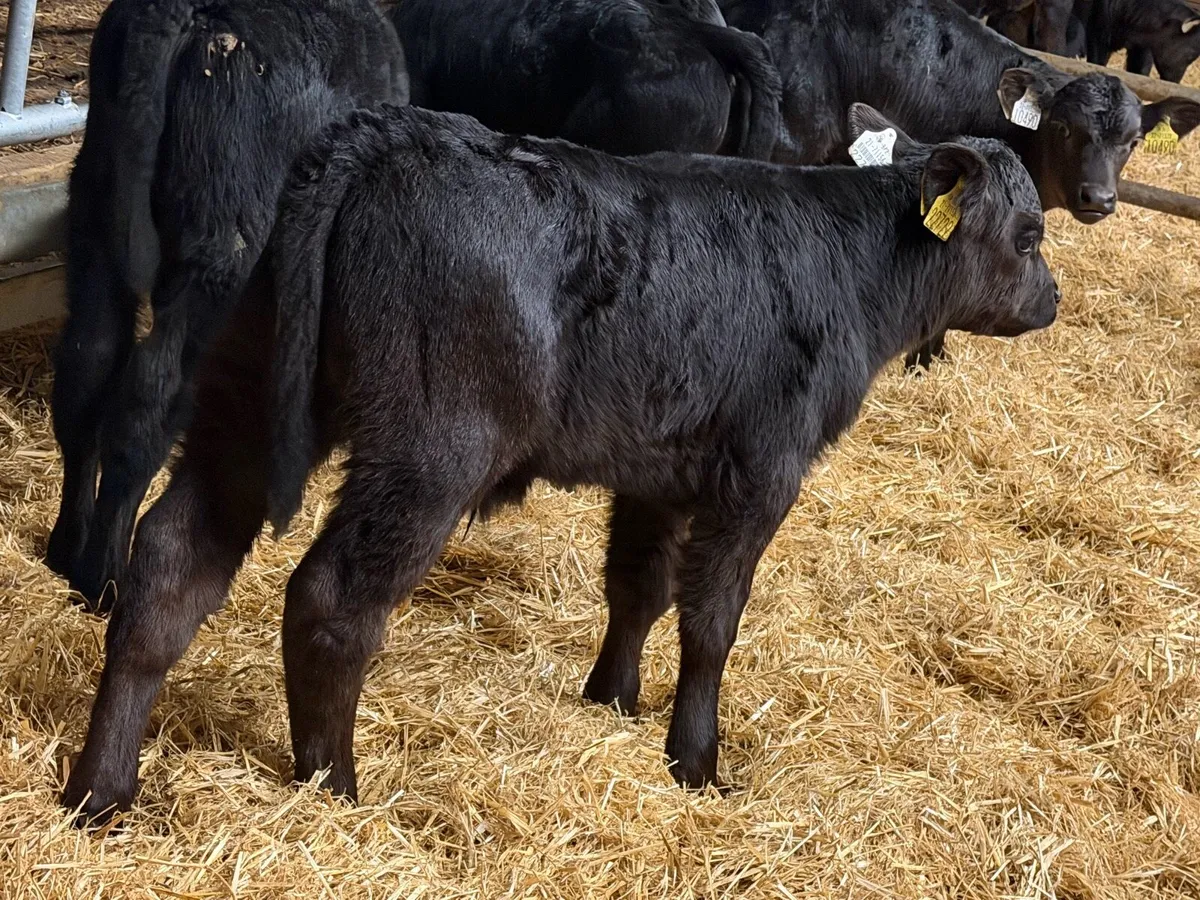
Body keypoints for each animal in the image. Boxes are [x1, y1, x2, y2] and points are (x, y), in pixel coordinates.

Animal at [46, 0, 410, 612]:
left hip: (92, 221)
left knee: (86, 371)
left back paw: (66, 550)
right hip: (222, 248)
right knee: (149, 397)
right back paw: (105, 575)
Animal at [62, 102, 1059, 822]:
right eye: (1031, 234)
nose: (1050, 300)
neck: (851, 264)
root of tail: (379, 135)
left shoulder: (660, 469)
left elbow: (638, 588)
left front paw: (612, 699)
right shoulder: (761, 471)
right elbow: (712, 621)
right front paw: (696, 760)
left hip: (241, 401)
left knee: (171, 566)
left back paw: (101, 790)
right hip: (433, 449)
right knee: (331, 599)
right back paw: (335, 785)